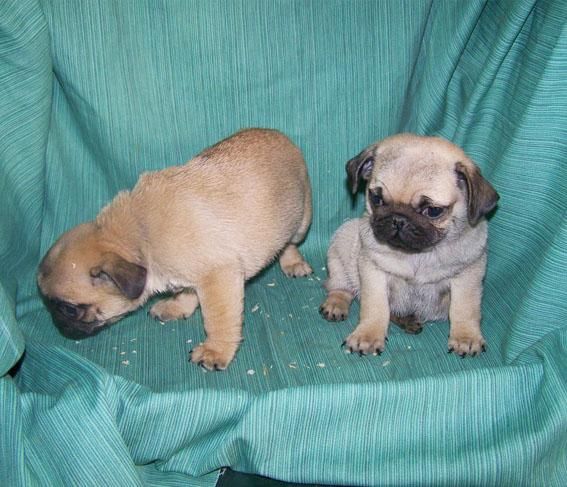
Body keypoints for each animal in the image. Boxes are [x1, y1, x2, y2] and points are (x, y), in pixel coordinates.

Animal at [38, 129, 316, 370]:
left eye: (69, 309)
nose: (56, 324)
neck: (138, 238)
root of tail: (279, 136)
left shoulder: (219, 277)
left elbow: (219, 319)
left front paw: (215, 350)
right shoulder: (193, 275)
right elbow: (187, 292)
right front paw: (177, 307)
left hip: (302, 220)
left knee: (290, 241)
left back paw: (292, 262)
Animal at [322, 133, 500, 358]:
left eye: (433, 211)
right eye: (377, 199)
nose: (398, 219)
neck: (418, 255)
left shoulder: (467, 276)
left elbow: (465, 309)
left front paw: (466, 337)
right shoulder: (373, 273)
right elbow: (375, 307)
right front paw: (368, 335)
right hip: (342, 244)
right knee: (340, 287)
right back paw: (336, 304)